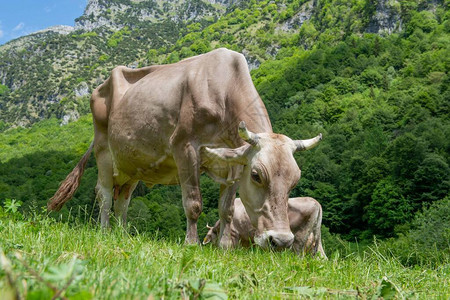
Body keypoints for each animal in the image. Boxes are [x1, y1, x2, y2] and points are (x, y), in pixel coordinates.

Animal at [48, 48, 324, 250]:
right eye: (257, 176)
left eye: (294, 180)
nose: (281, 240)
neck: (223, 90)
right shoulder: (185, 148)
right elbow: (193, 203)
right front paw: (191, 244)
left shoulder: (234, 163)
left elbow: (227, 209)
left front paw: (224, 247)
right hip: (104, 149)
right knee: (104, 194)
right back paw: (105, 231)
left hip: (133, 164)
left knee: (123, 199)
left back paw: (122, 234)